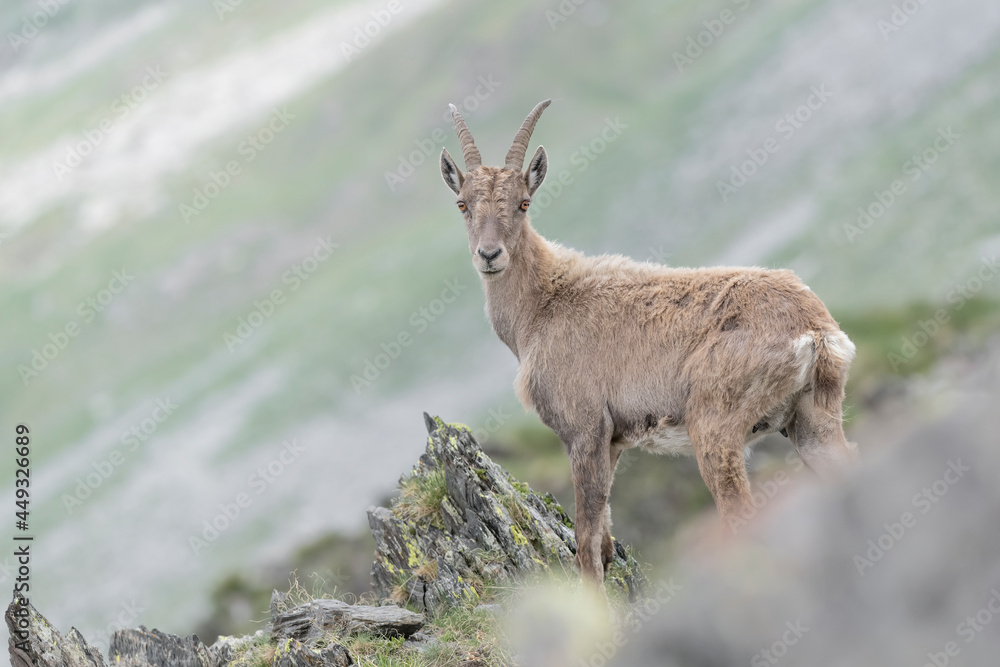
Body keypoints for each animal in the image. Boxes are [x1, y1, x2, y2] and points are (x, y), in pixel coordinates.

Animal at [438, 99, 858, 589]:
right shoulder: (613, 441)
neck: (542, 307)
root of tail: (814, 329)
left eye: (524, 203)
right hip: (812, 422)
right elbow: (604, 541)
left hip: (714, 428)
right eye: (462, 204)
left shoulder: (584, 431)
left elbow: (586, 543)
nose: (490, 255)